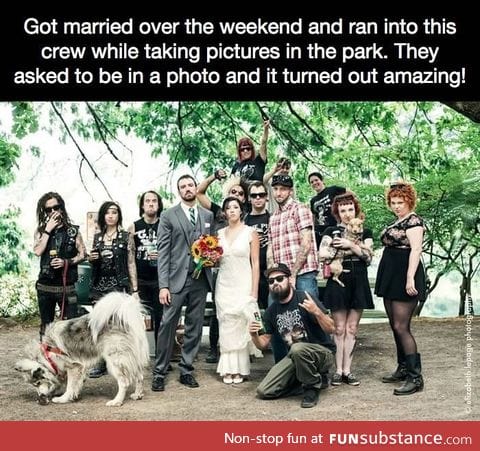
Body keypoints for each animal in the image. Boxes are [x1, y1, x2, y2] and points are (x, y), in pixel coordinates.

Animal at [15, 292, 148, 408]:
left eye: (37, 383)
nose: (40, 398)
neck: (47, 353)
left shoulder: (73, 366)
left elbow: (70, 385)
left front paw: (63, 398)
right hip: (131, 357)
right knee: (140, 376)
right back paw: (137, 394)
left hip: (116, 360)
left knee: (124, 382)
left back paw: (117, 401)